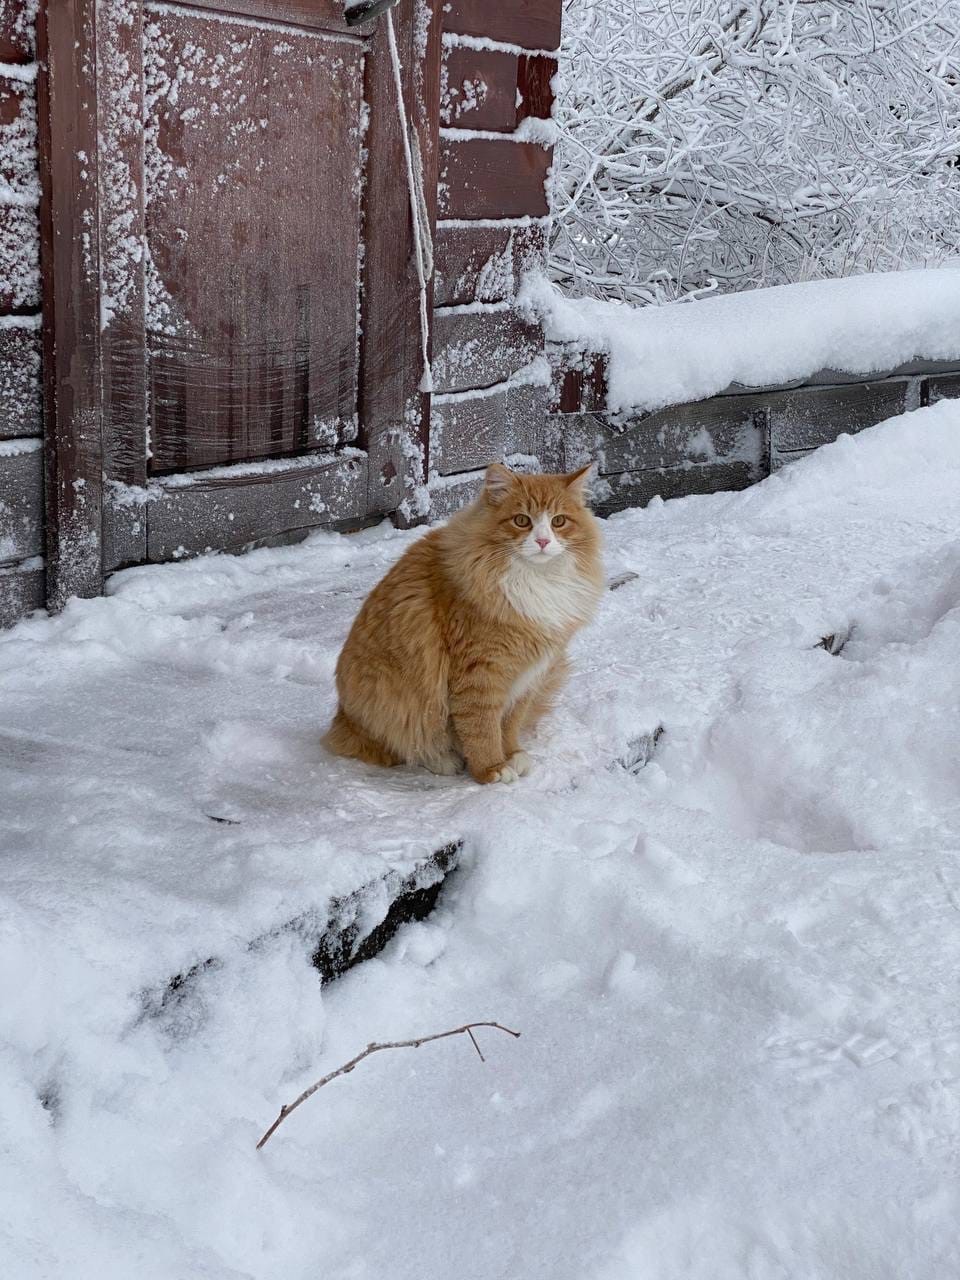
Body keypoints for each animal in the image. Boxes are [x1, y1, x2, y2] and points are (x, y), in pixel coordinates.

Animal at [327, 460, 604, 778]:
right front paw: (491, 768)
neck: (534, 578)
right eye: (522, 521)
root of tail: (341, 719)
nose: (544, 541)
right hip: (389, 696)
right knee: (398, 746)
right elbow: (481, 727)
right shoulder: (480, 670)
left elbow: (509, 723)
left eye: (558, 522)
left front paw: (512, 754)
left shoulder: (529, 674)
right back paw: (442, 760)